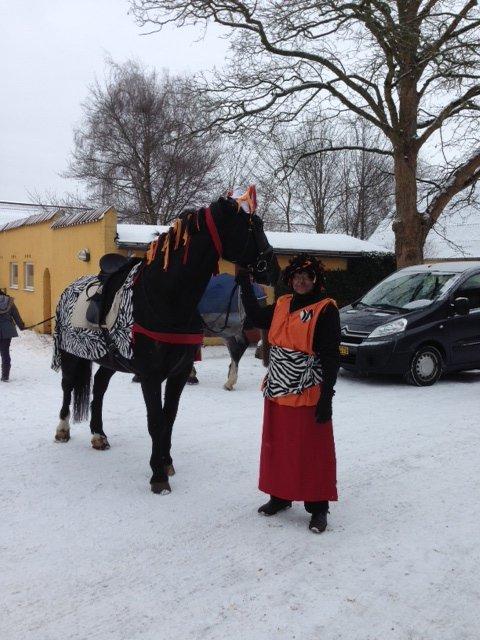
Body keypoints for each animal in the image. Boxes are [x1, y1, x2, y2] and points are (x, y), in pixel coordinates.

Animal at [53, 192, 278, 492]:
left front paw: (166, 462)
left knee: (99, 387)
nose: (274, 269)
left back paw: (98, 434)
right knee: (67, 387)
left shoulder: (178, 372)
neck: (166, 297)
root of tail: (70, 288)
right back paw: (63, 430)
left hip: (111, 359)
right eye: (253, 226)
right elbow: (155, 421)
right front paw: (158, 475)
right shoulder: (150, 375)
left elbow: (169, 417)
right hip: (70, 354)